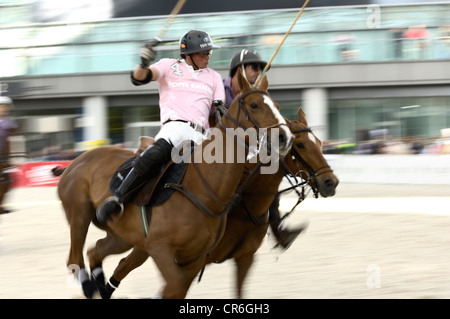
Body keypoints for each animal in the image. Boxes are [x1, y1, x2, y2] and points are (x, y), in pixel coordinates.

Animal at [56, 73, 294, 300]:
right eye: (254, 105)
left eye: (277, 106)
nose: (286, 137)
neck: (205, 190)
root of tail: (75, 160)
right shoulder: (159, 248)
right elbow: (174, 288)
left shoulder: (195, 257)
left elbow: (176, 289)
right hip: (79, 215)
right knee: (74, 259)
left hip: (122, 235)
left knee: (95, 251)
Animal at [81, 107, 338, 300]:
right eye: (301, 145)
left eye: (319, 142)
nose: (330, 182)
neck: (242, 201)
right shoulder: (188, 259)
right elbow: (170, 289)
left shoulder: (243, 258)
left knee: (115, 259)